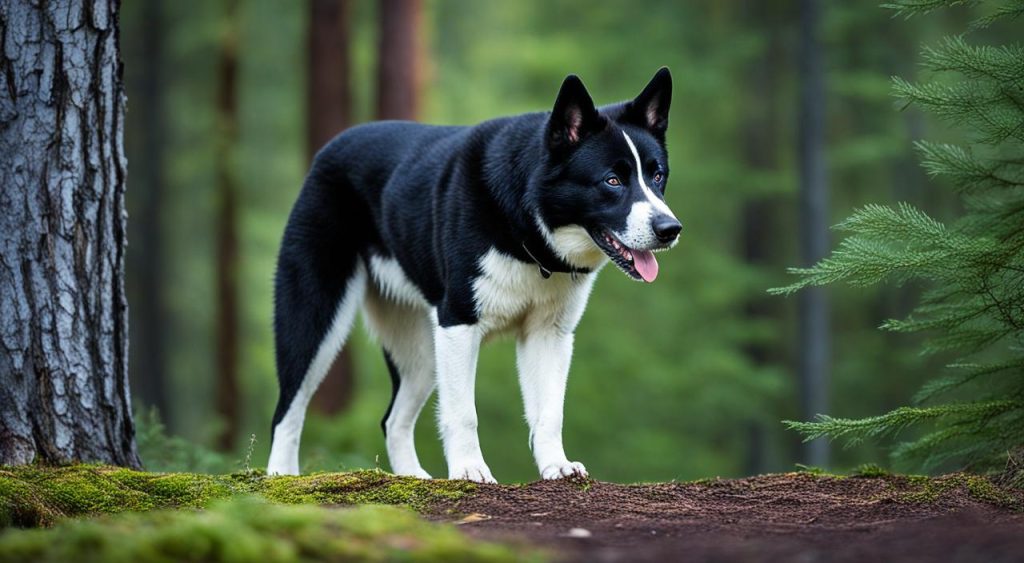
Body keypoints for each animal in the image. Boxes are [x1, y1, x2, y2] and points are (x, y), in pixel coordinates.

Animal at [268, 68, 679, 483]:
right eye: (612, 180)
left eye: (658, 175)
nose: (670, 229)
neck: (526, 228)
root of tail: (330, 148)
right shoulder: (459, 324)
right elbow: (464, 413)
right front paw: (469, 470)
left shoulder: (549, 334)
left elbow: (550, 413)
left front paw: (557, 466)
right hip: (316, 318)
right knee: (288, 410)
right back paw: (281, 476)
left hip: (422, 349)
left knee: (393, 420)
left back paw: (413, 478)